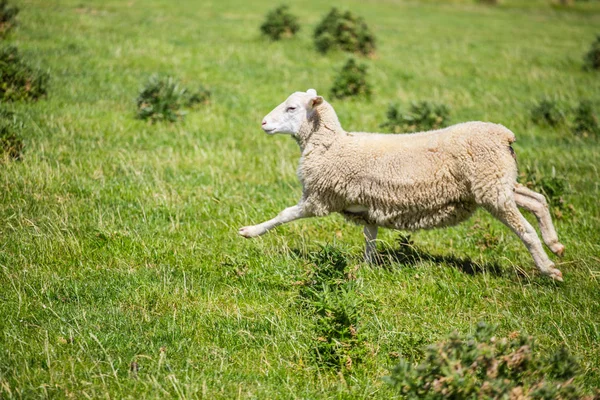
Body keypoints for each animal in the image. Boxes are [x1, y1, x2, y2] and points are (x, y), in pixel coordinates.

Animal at [237, 87, 564, 282]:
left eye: (292, 108)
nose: (263, 123)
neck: (332, 144)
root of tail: (504, 136)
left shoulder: (320, 198)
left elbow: (283, 215)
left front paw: (250, 231)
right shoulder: (366, 208)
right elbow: (370, 238)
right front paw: (366, 268)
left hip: (492, 189)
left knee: (526, 230)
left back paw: (549, 268)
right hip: (497, 183)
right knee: (537, 199)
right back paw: (555, 243)